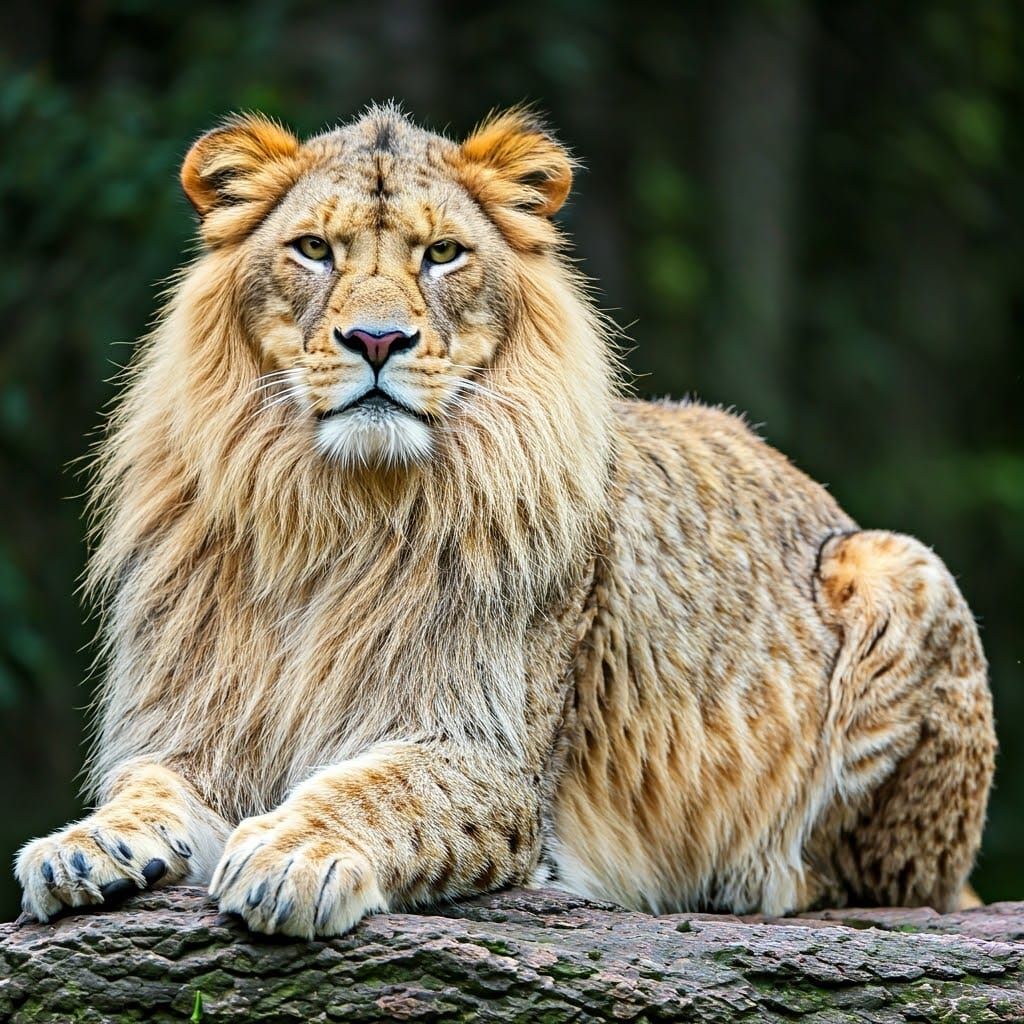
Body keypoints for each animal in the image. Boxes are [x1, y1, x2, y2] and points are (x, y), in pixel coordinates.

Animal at [15, 105, 995, 937]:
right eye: (314, 249)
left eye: (443, 253)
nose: (377, 340)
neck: (338, 510)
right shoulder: (193, 728)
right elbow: (145, 787)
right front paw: (83, 847)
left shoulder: (498, 763)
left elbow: (381, 791)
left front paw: (296, 853)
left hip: (900, 566)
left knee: (879, 882)